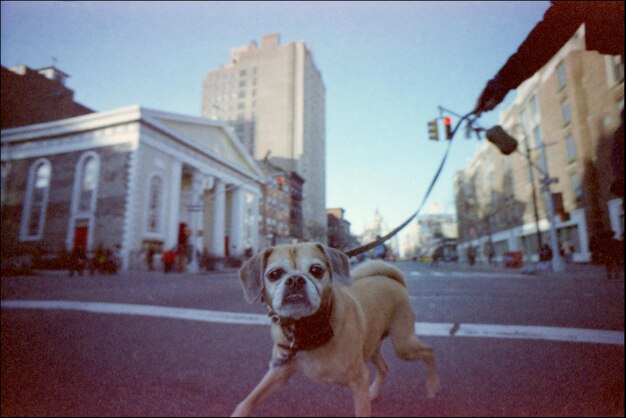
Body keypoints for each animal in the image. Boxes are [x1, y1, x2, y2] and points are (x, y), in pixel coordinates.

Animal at [232, 243, 442, 416]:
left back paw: (433, 386)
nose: (295, 280)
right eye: (274, 274)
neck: (307, 328)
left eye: (316, 270)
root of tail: (392, 279)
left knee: (429, 352)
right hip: (372, 346)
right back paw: (374, 392)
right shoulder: (278, 372)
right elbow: (248, 401)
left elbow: (362, 410)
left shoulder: (358, 380)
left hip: (403, 345)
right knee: (384, 367)